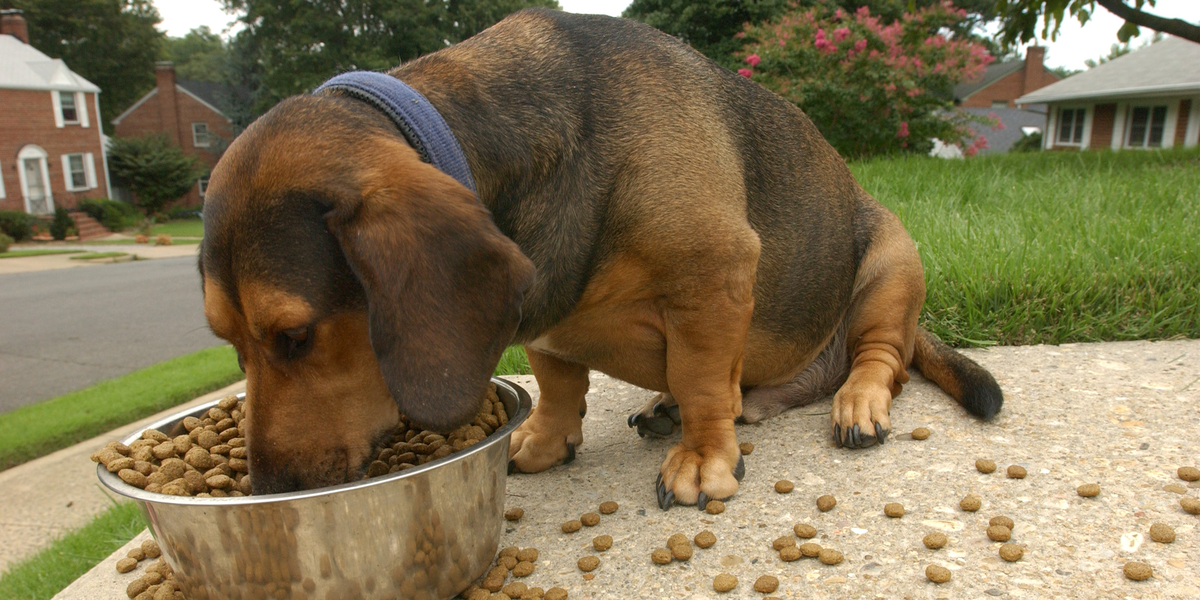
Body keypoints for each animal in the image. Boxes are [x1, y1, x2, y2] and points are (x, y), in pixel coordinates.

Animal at [199, 9, 1003, 506]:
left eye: (294, 336)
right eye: (225, 339)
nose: (269, 490)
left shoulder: (714, 274)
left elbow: (705, 379)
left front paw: (703, 457)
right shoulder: (543, 316)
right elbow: (559, 382)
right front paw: (544, 440)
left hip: (891, 262)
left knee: (882, 359)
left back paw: (855, 399)